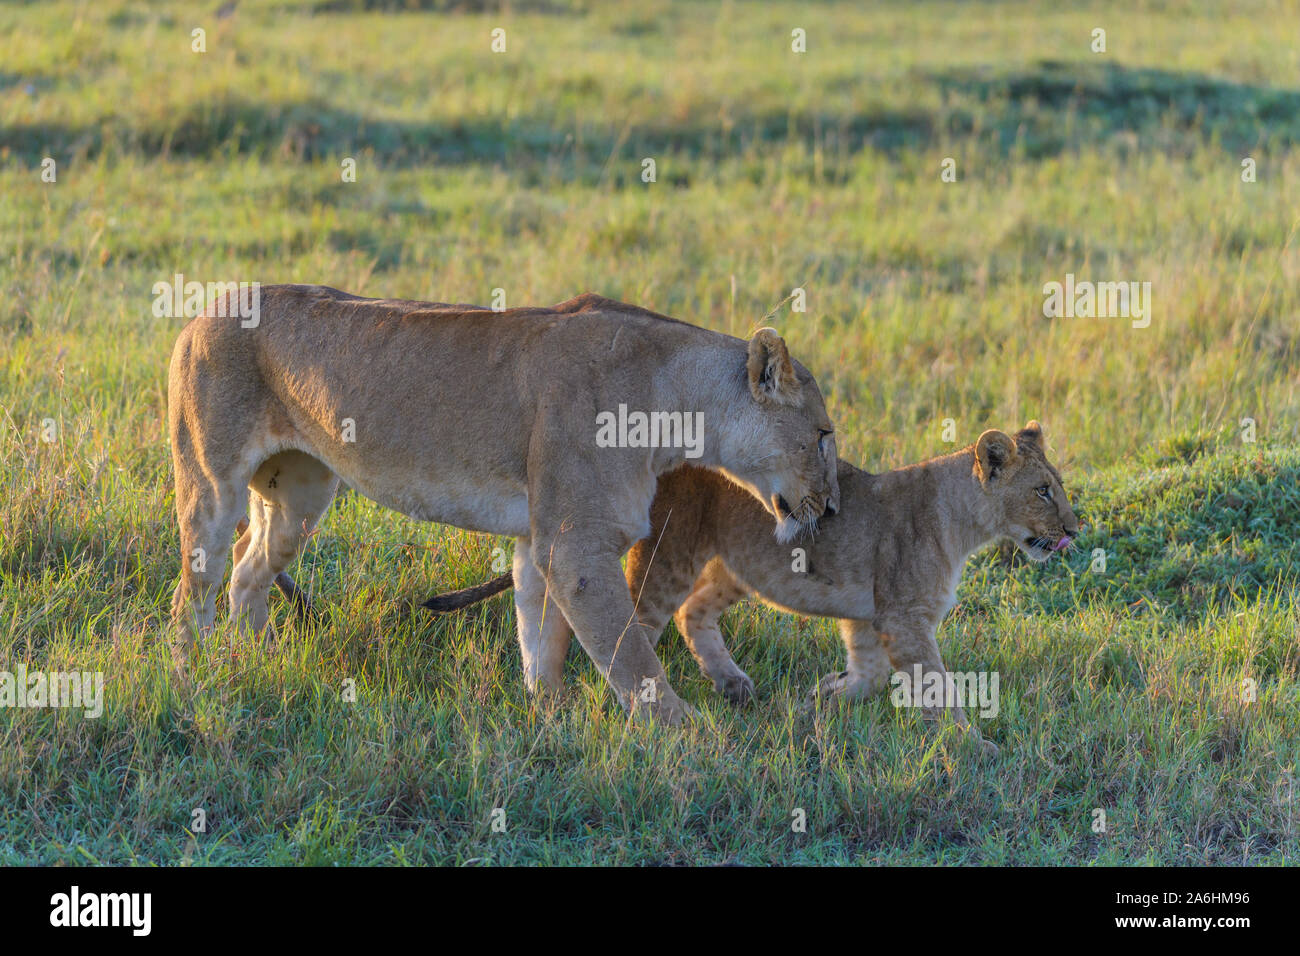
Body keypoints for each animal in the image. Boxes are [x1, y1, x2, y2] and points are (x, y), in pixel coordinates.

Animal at [167, 285, 839, 725]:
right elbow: (630, 655)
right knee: (193, 588)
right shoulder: (576, 545)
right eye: (824, 435)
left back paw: (256, 660)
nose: (831, 509)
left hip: (302, 494)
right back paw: (193, 674)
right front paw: (684, 730)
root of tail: (208, 307)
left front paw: (551, 716)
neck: (679, 398)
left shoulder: (540, 538)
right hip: (211, 482)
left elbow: (541, 637)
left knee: (249, 571)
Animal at [415, 422, 1078, 752]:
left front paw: (819, 700)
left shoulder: (869, 616)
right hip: (672, 555)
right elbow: (936, 686)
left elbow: (867, 674)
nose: (1077, 528)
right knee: (636, 626)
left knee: (694, 616)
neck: (964, 522)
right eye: (1044, 490)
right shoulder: (905, 619)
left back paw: (733, 684)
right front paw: (975, 747)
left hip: (738, 565)